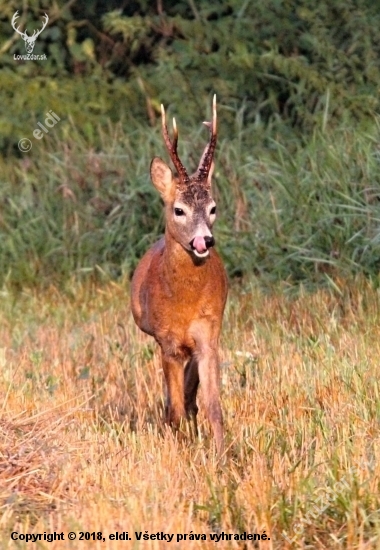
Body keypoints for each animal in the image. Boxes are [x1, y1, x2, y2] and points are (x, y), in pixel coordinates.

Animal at [131, 97, 227, 454]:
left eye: (213, 207)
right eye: (178, 210)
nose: (204, 241)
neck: (183, 305)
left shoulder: (208, 334)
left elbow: (213, 405)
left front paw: (224, 456)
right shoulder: (166, 341)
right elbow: (172, 410)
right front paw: (179, 448)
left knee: (189, 395)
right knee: (173, 402)